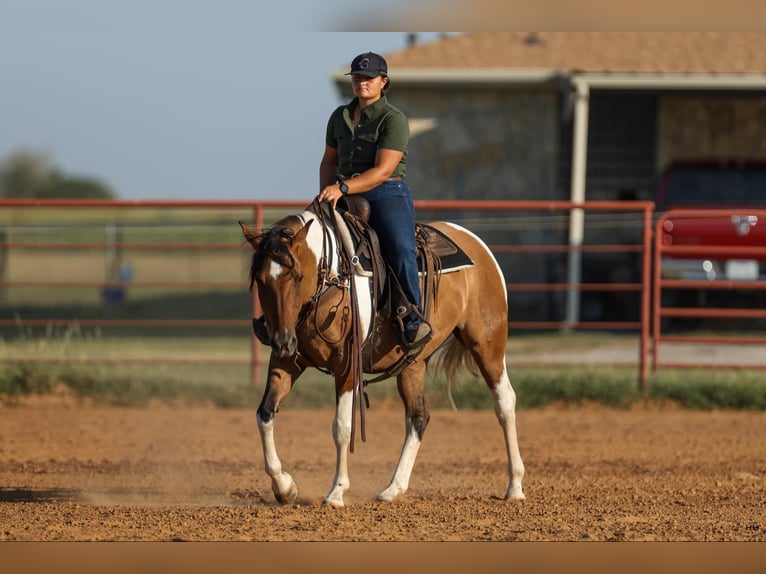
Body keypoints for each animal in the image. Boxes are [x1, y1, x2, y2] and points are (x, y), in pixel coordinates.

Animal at [242, 200, 528, 506]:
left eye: (296, 277)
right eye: (261, 280)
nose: (281, 340)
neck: (331, 279)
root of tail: (477, 244)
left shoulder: (347, 366)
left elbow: (342, 427)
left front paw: (336, 492)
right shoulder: (287, 362)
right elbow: (264, 414)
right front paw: (284, 487)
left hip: (487, 345)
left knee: (505, 403)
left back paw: (515, 486)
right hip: (413, 364)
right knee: (418, 417)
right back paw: (393, 488)